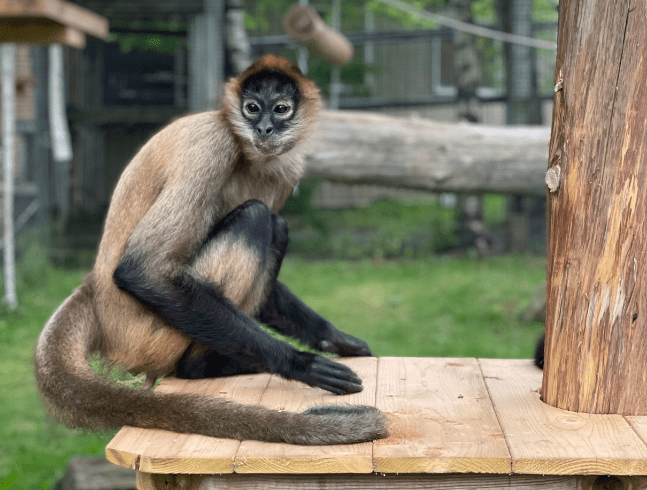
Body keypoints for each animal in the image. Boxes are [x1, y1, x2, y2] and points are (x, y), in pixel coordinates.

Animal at [34, 55, 390, 446]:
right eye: (252, 108)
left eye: (280, 109)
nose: (264, 128)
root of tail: (93, 291)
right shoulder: (213, 143)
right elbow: (143, 268)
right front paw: (299, 363)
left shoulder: (286, 170)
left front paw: (334, 338)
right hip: (151, 336)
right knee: (257, 216)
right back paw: (202, 366)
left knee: (275, 225)